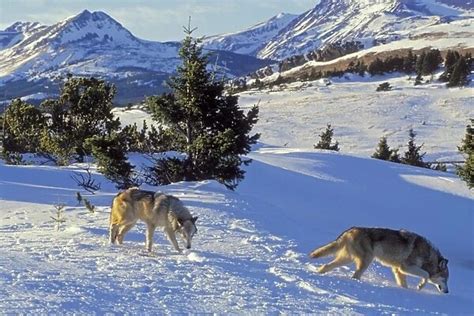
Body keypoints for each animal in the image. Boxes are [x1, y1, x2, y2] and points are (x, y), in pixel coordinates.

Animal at [310, 226, 450, 292]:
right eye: (445, 280)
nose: (447, 292)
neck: (428, 256)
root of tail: (351, 230)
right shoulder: (404, 267)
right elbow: (425, 275)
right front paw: (420, 286)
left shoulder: (398, 270)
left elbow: (404, 284)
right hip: (366, 261)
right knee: (355, 275)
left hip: (347, 259)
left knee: (326, 266)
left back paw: (317, 274)